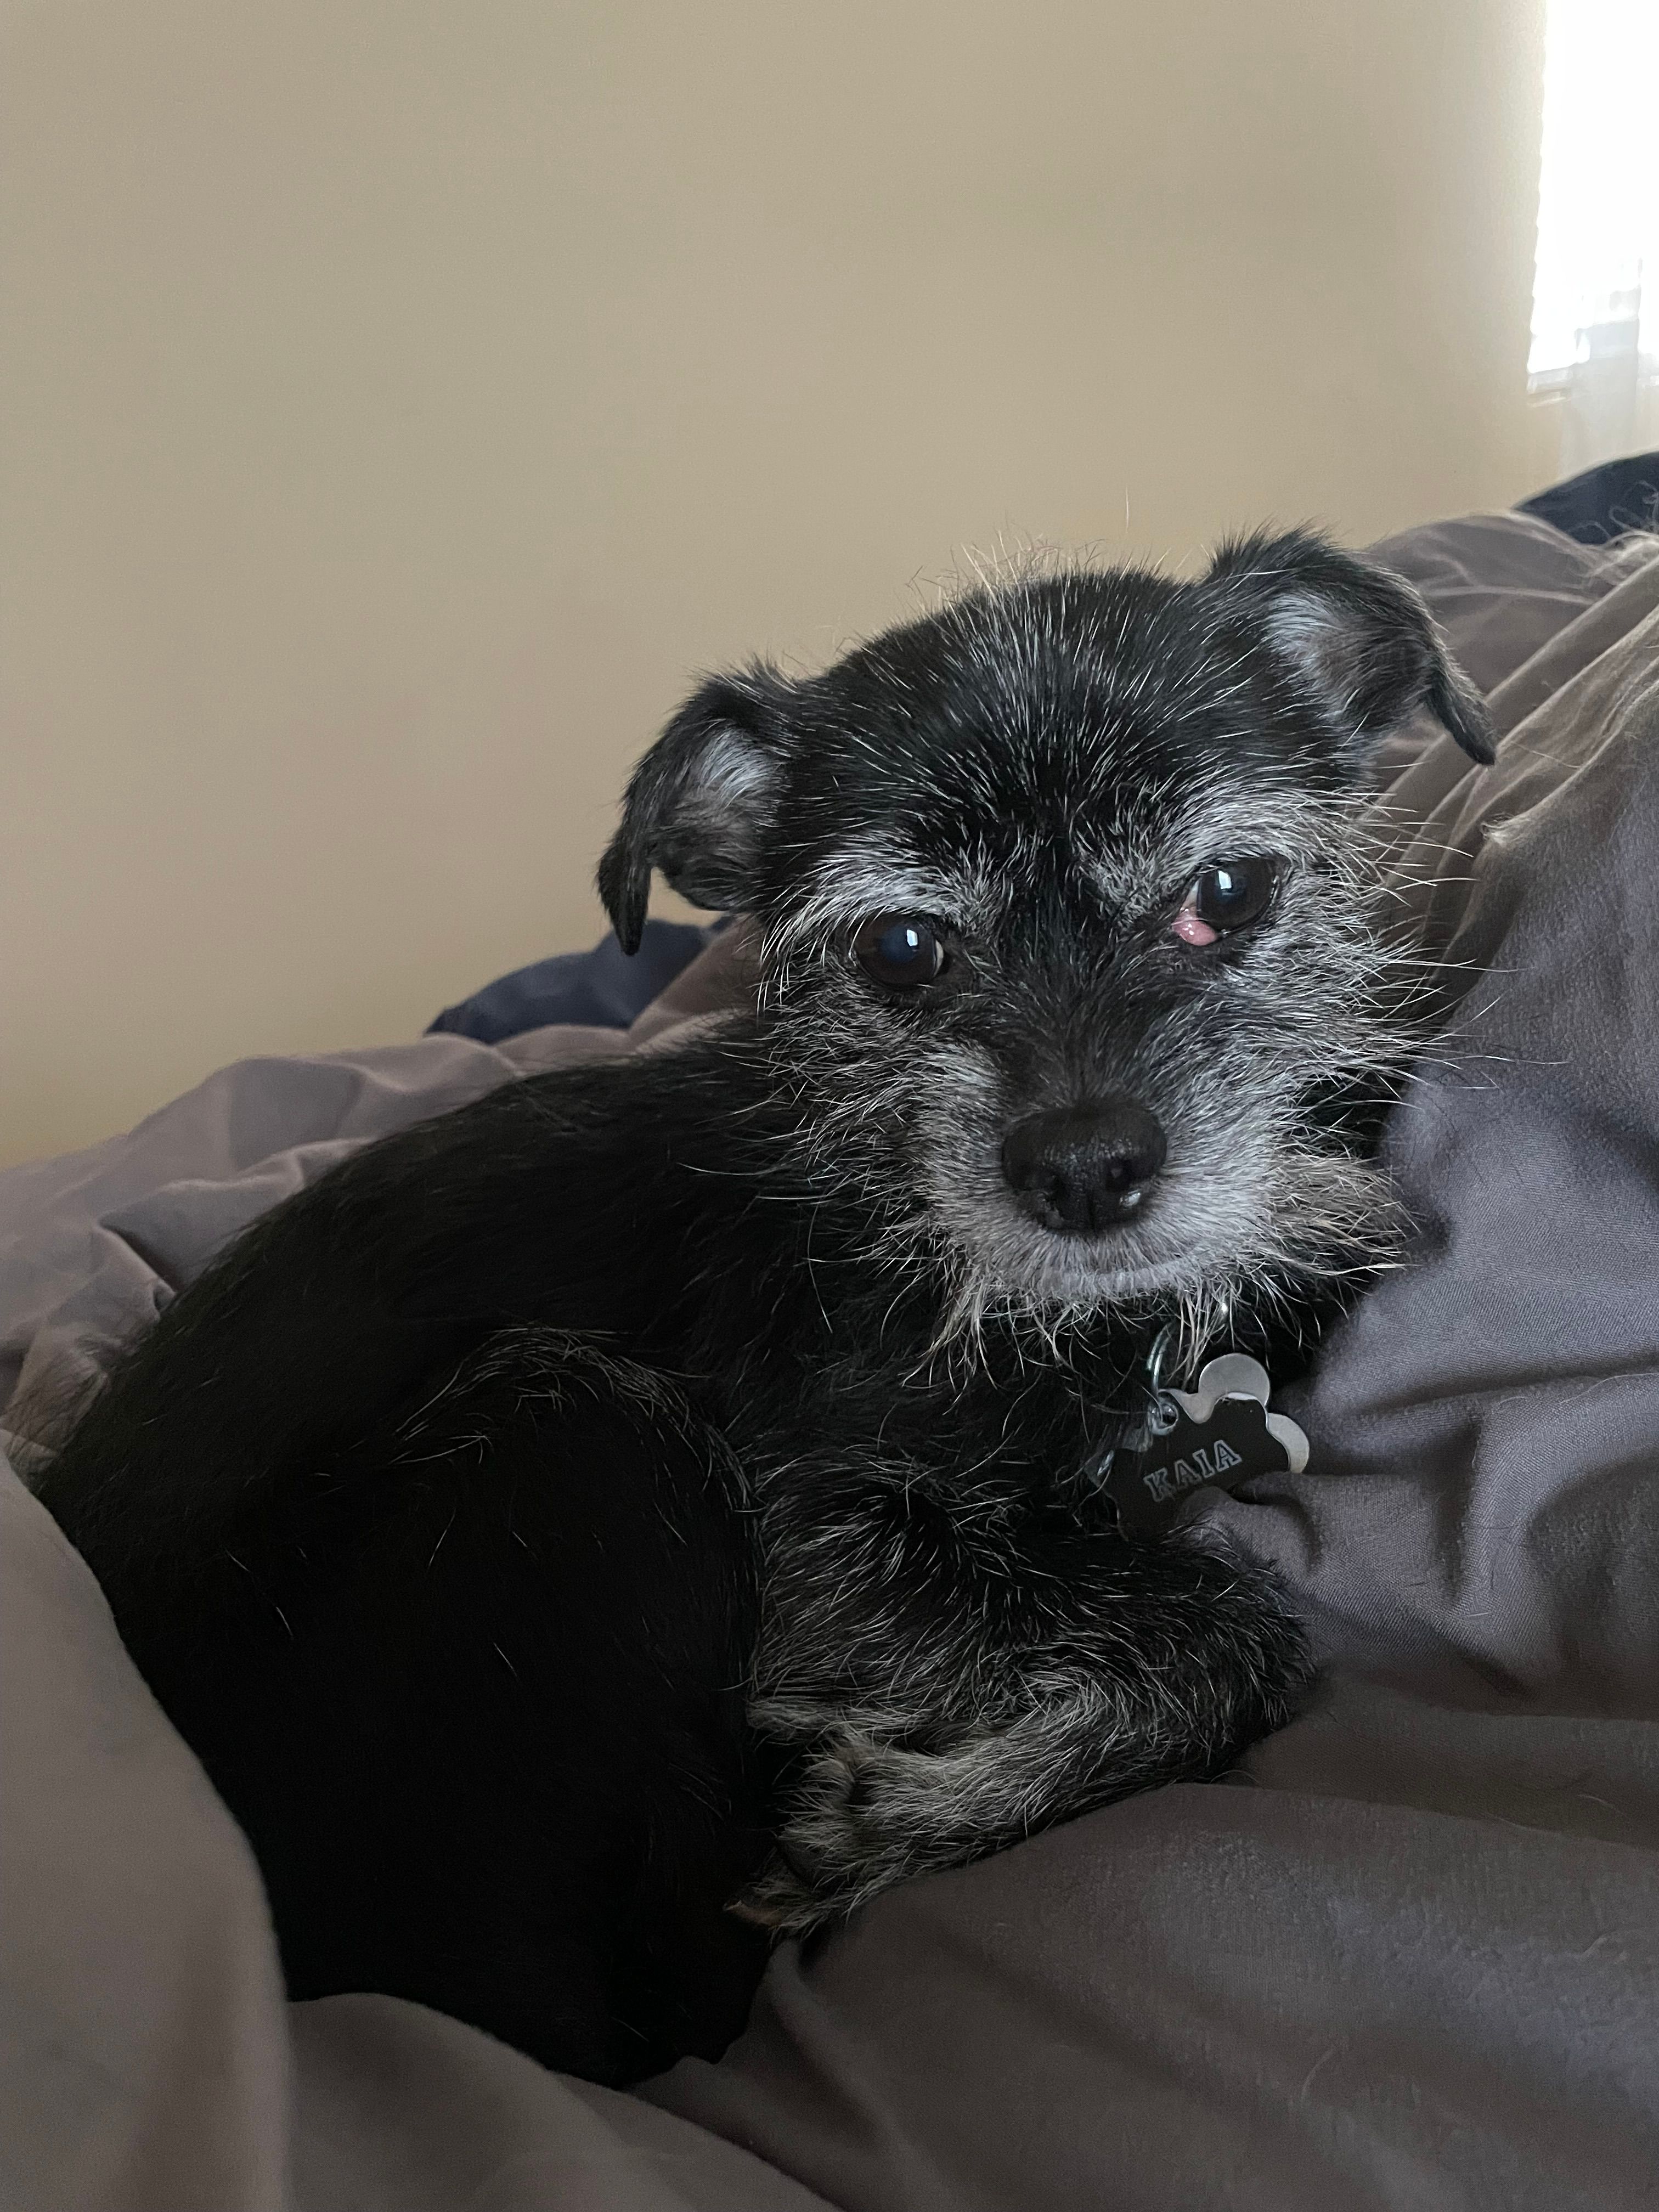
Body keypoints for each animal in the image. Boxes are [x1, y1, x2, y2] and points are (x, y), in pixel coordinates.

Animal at [37, 529, 1494, 2085]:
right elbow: (1233, 1632)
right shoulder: (820, 1536)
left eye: (1224, 892)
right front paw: (905, 1816)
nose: (1086, 1168)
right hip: (580, 1426)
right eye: (903, 950)